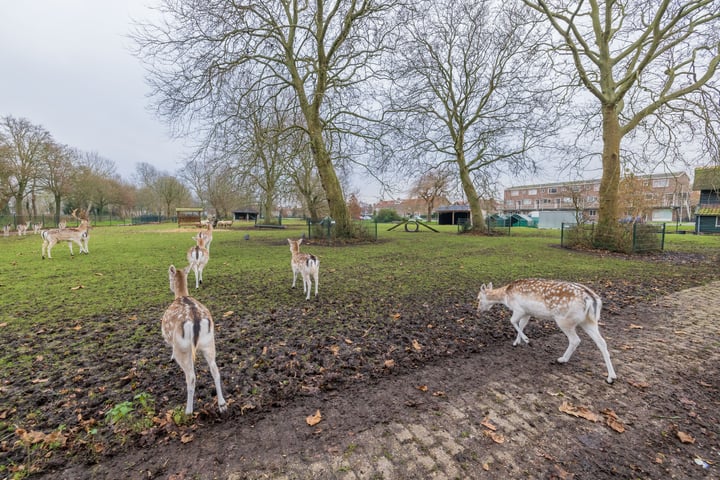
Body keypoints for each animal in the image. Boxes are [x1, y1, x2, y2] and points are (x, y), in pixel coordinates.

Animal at [162, 264, 226, 414]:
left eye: (169, 277)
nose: (170, 286)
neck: (181, 295)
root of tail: (196, 320)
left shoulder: (172, 341)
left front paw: (171, 357)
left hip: (183, 349)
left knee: (191, 377)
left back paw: (188, 411)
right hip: (209, 343)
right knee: (215, 371)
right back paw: (222, 404)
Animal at [476, 278, 616, 382]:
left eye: (478, 298)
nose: (478, 310)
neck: (506, 296)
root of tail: (591, 299)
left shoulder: (519, 309)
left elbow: (512, 321)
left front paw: (527, 340)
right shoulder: (527, 312)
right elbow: (521, 324)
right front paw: (517, 342)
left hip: (564, 320)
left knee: (575, 340)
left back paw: (562, 359)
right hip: (589, 321)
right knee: (601, 342)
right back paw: (611, 377)